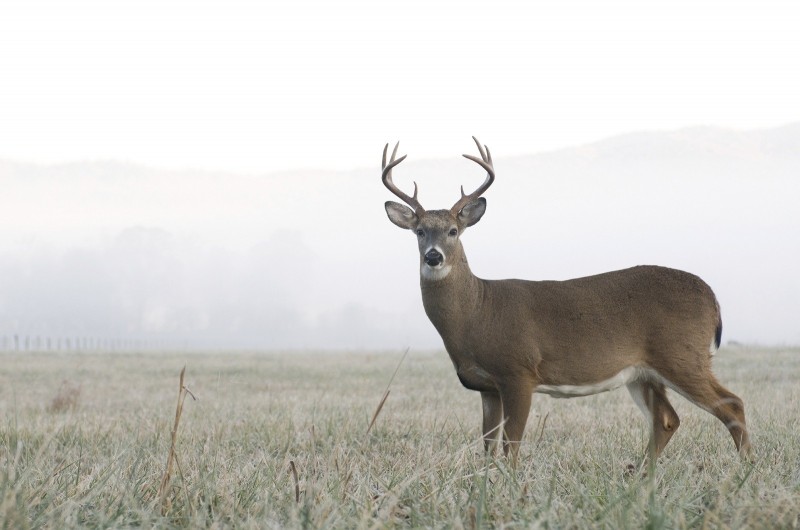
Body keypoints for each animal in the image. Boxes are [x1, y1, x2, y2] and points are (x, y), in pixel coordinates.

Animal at [382, 136, 752, 462]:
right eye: (419, 232)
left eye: (453, 231)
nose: (433, 256)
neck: (476, 312)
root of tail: (712, 297)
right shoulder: (486, 386)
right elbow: (487, 447)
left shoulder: (518, 371)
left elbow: (511, 446)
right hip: (644, 373)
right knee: (668, 420)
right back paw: (641, 478)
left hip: (682, 354)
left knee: (732, 404)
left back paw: (745, 469)